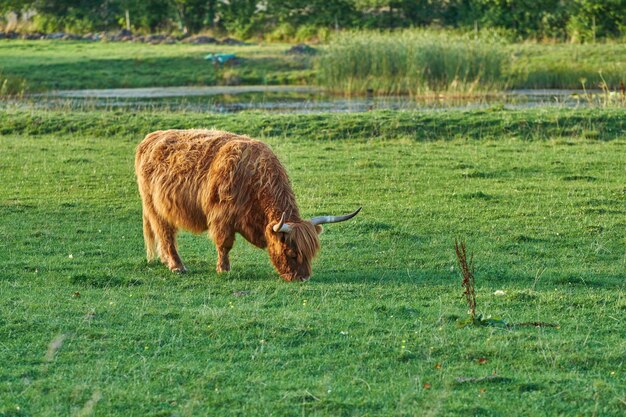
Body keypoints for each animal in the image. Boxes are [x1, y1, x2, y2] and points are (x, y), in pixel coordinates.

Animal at [135, 128, 360, 282]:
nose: (303, 278)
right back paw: (177, 266)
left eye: (311, 254)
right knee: (166, 234)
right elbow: (224, 244)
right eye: (291, 253)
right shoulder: (221, 217)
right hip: (155, 207)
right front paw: (223, 269)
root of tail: (151, 137)